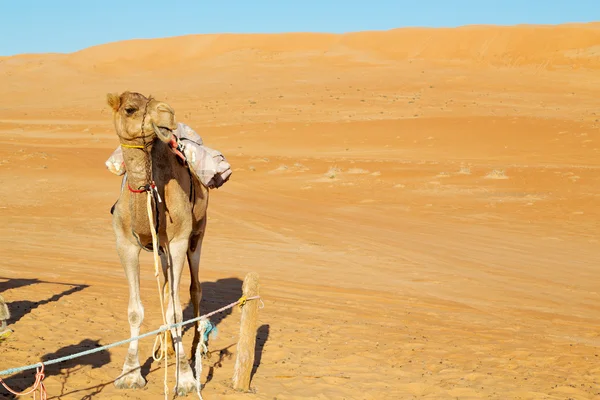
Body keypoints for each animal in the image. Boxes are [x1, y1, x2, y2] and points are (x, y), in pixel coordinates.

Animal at [107, 90, 209, 394]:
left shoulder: (177, 241)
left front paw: (185, 379)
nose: (168, 113)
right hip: (160, 249)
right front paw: (130, 373)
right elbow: (135, 311)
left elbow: (176, 310)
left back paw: (194, 347)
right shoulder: (125, 244)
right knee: (165, 288)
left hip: (197, 234)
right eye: (130, 109)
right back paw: (165, 348)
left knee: (194, 288)